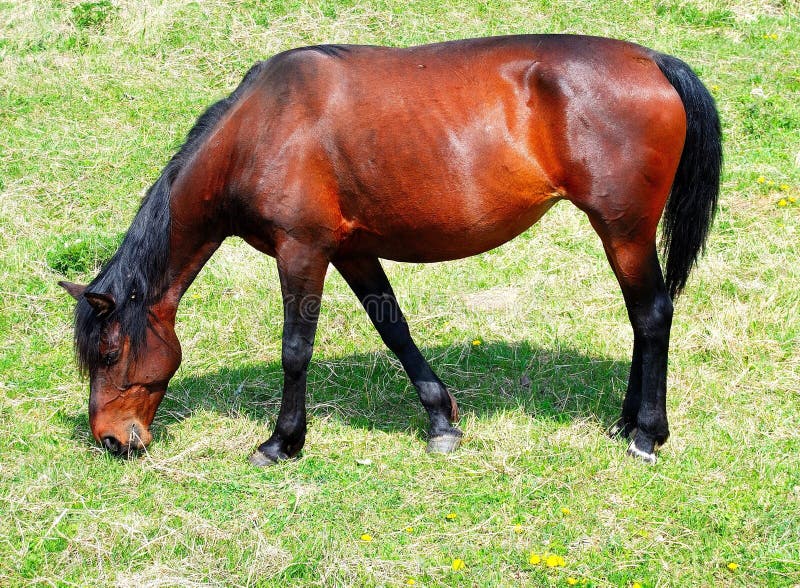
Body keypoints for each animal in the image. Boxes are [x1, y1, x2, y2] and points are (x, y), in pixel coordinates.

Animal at [60, 34, 721, 465]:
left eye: (110, 353)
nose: (112, 441)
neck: (262, 129)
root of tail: (652, 61)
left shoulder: (302, 251)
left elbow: (295, 350)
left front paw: (283, 441)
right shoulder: (351, 251)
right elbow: (394, 328)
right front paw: (441, 421)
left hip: (624, 229)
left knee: (651, 315)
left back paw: (646, 434)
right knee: (640, 318)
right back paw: (625, 422)